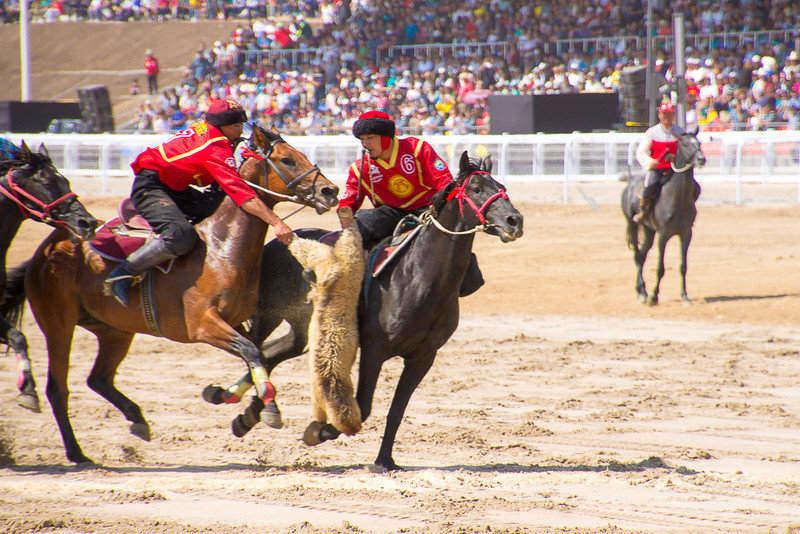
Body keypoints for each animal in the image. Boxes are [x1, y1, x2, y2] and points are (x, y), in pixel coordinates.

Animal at [203, 152, 520, 474]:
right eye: (476, 188)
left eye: (501, 186)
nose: (514, 220)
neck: (418, 277)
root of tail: (285, 239)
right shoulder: (374, 349)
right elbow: (363, 405)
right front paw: (319, 431)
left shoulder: (423, 357)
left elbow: (396, 411)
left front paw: (384, 460)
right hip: (266, 315)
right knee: (255, 349)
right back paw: (236, 399)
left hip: (301, 327)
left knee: (270, 352)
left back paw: (246, 414)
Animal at [620, 130, 708, 306]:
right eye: (686, 144)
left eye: (699, 143)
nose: (702, 159)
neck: (677, 198)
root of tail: (629, 184)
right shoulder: (663, 235)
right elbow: (660, 268)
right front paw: (654, 296)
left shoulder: (686, 234)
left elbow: (683, 266)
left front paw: (685, 296)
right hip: (633, 226)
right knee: (637, 256)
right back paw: (643, 294)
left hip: (648, 231)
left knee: (642, 256)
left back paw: (641, 291)